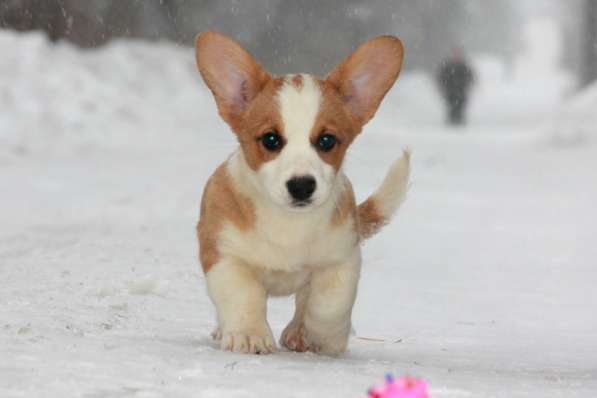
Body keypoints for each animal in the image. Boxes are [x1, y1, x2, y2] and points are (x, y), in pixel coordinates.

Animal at [196, 31, 410, 354]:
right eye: (271, 139)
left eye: (326, 140)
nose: (301, 185)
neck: (290, 224)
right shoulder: (225, 256)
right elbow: (243, 297)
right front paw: (249, 335)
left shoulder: (342, 259)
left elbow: (328, 306)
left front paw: (322, 338)